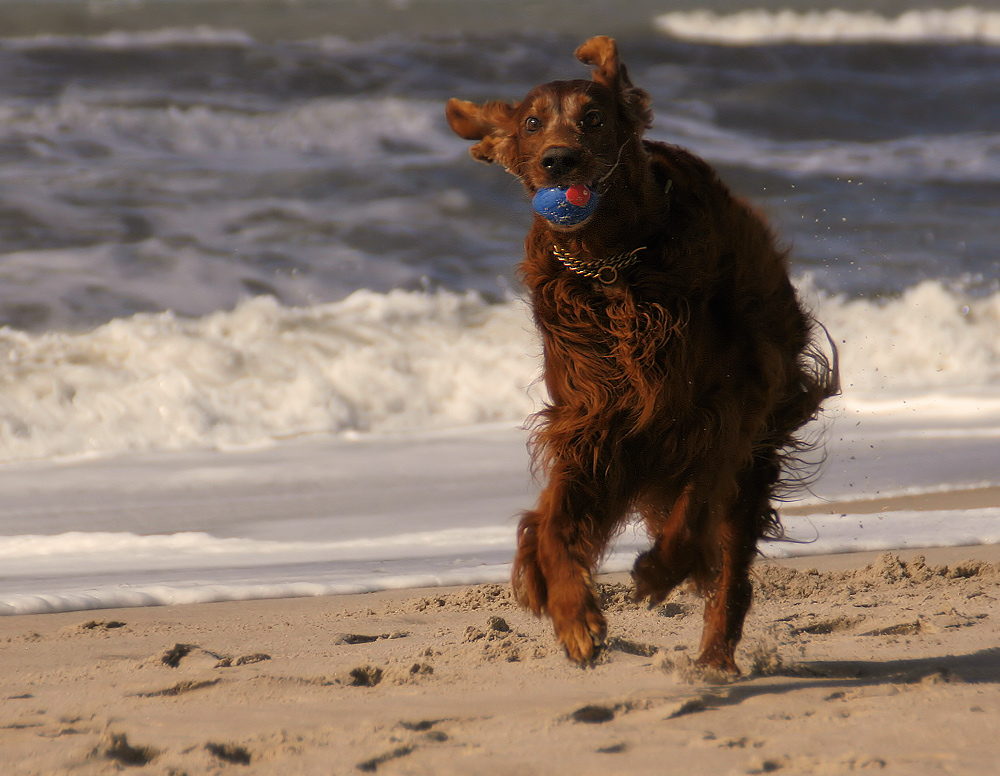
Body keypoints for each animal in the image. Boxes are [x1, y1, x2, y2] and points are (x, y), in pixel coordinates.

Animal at [446, 34, 836, 672]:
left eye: (594, 118)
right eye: (531, 123)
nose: (559, 161)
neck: (612, 263)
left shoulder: (726, 401)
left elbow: (699, 495)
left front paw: (659, 568)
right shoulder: (594, 418)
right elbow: (556, 523)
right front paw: (573, 615)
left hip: (754, 444)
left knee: (731, 563)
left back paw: (714, 656)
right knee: (539, 522)